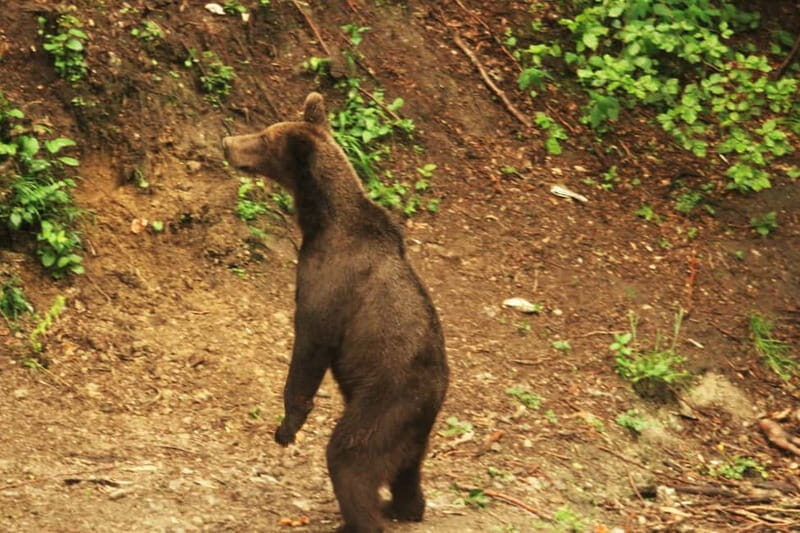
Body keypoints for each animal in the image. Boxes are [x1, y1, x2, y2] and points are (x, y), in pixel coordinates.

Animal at [222, 92, 449, 533]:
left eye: (264, 137)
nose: (227, 142)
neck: (320, 219)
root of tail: (435, 396)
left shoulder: (329, 281)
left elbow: (310, 344)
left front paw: (286, 427)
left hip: (386, 399)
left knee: (351, 456)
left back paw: (359, 519)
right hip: (412, 429)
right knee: (408, 468)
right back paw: (405, 506)